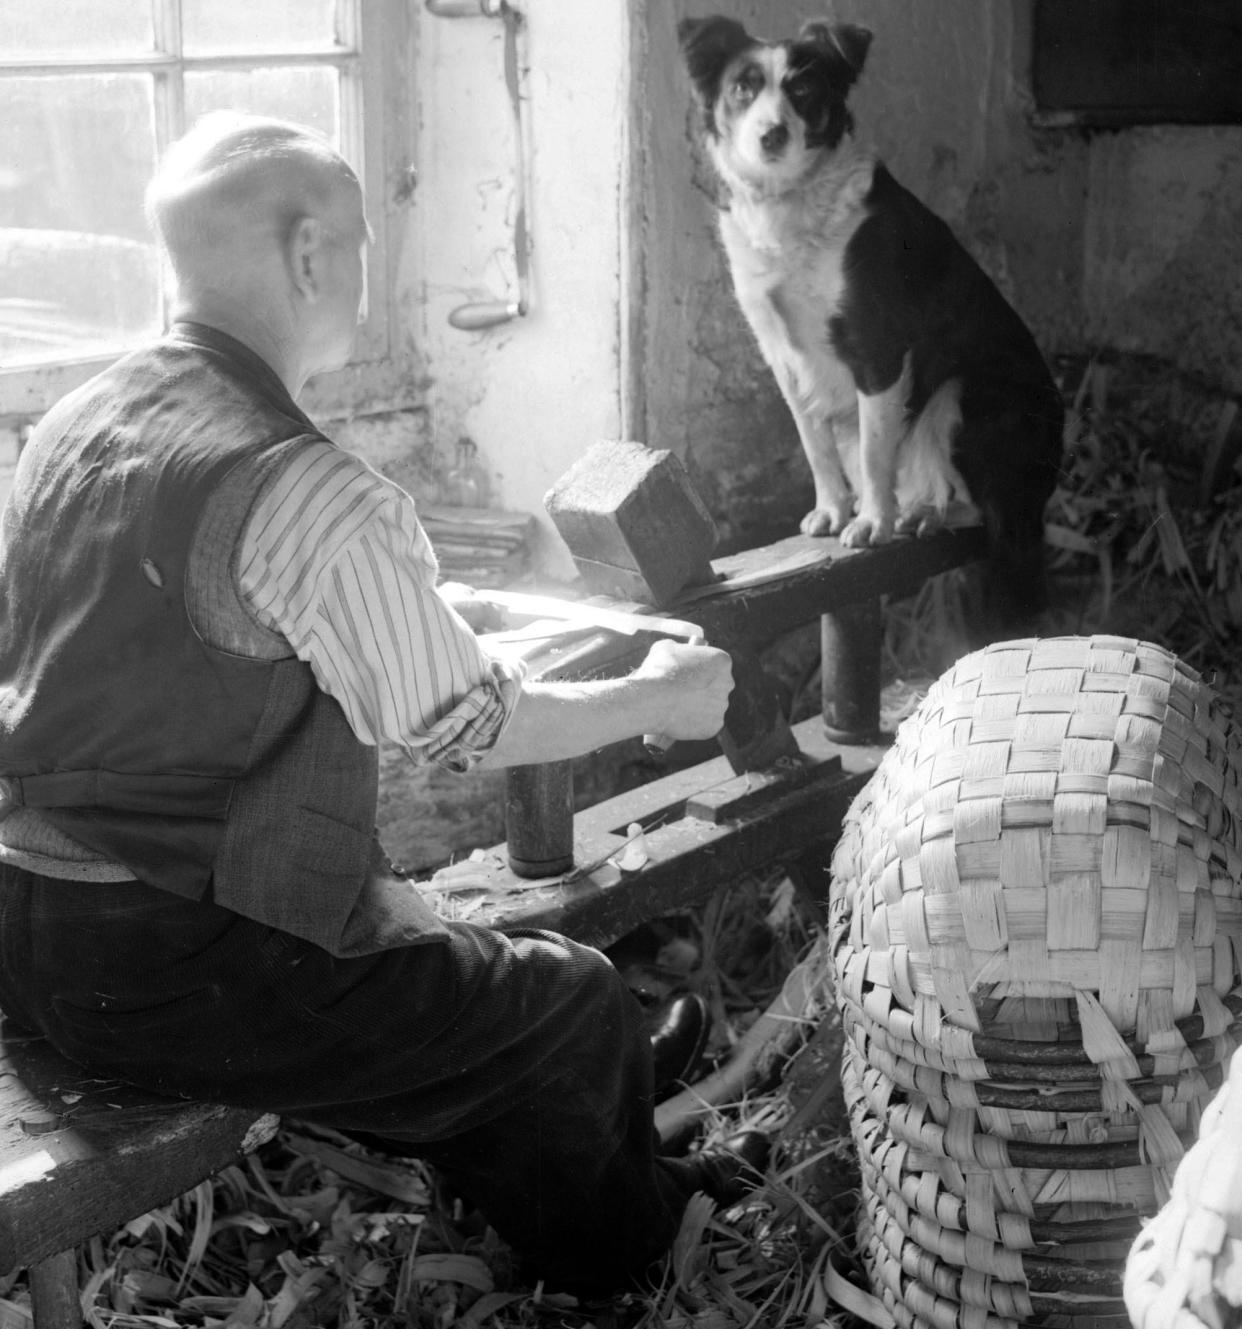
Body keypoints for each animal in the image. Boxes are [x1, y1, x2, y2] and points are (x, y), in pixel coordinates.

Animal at [674, 14, 1062, 627]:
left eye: (804, 90)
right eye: (742, 88)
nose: (771, 136)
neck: (789, 203)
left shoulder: (876, 349)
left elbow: (876, 451)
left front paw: (873, 522)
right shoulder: (783, 357)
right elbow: (816, 446)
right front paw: (833, 512)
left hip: (969, 396)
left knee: (980, 506)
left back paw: (921, 512)